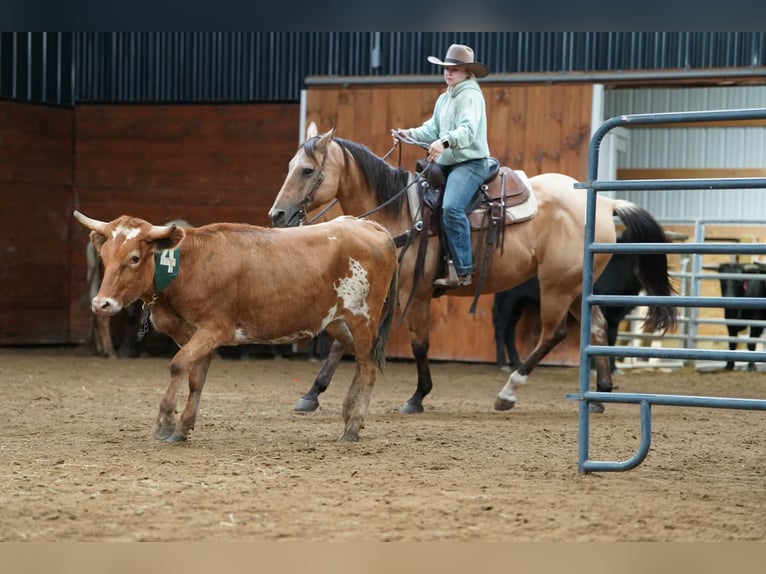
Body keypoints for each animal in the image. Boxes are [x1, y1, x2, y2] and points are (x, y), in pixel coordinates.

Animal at [269, 123, 677, 415]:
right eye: (288, 167)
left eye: (307, 170)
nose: (277, 215)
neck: (399, 213)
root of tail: (605, 202)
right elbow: (343, 343)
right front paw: (311, 394)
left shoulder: (414, 293)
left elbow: (419, 343)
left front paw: (418, 396)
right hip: (575, 285)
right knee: (597, 327)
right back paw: (600, 394)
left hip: (557, 285)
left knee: (554, 334)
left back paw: (508, 393)